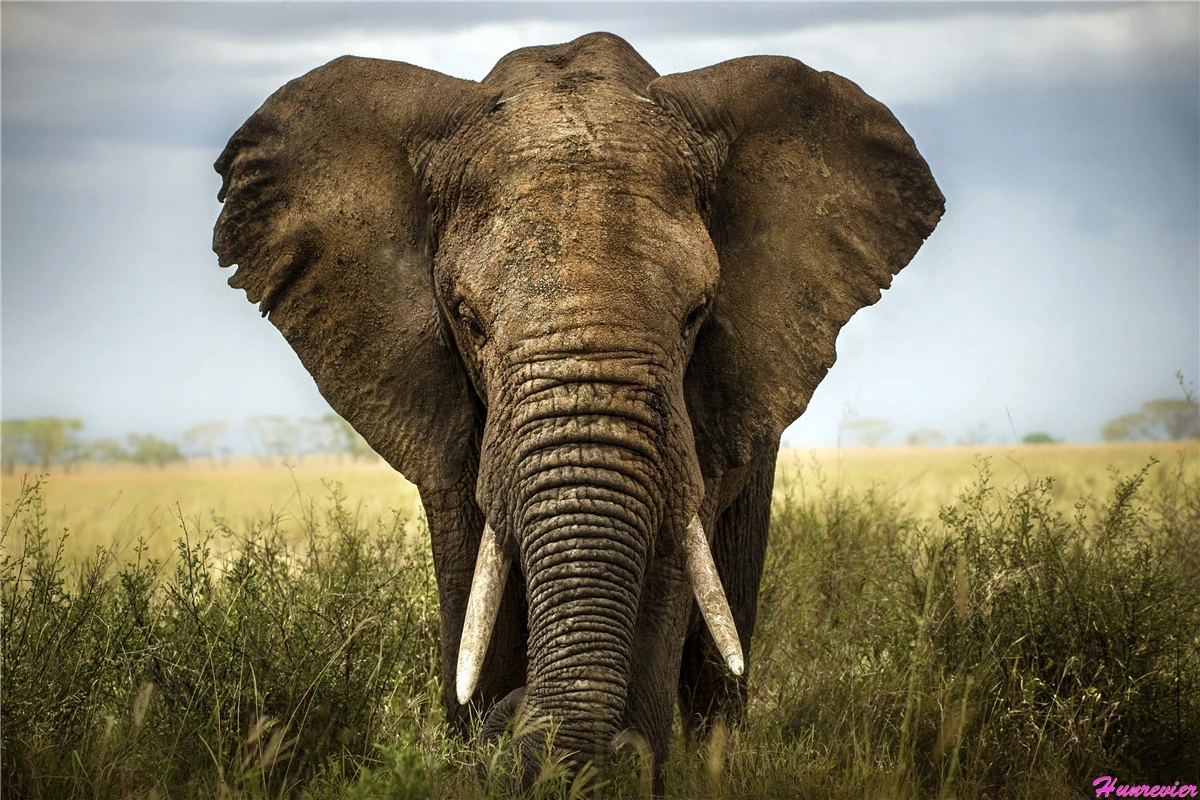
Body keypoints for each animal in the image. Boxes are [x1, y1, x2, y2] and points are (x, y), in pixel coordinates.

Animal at [212, 32, 943, 790]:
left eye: (696, 314)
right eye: (468, 319)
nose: (515, 719)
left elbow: (668, 568)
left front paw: (623, 765)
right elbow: (472, 578)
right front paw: (485, 743)